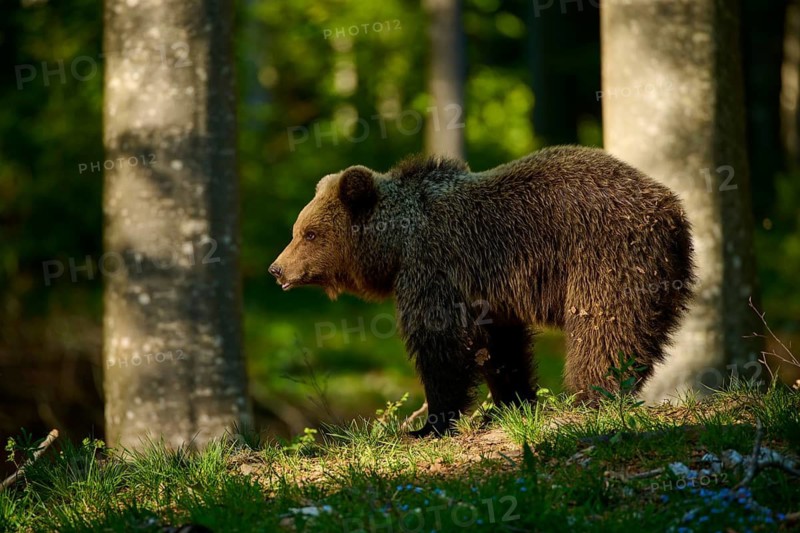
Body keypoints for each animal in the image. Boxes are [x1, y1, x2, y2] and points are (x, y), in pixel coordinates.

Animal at [270, 145, 695, 437]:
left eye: (309, 233)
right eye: (298, 230)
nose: (276, 269)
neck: (397, 245)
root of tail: (672, 209)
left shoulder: (435, 270)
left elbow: (441, 344)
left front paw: (429, 424)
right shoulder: (486, 294)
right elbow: (500, 348)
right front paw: (511, 403)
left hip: (606, 258)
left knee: (604, 331)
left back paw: (589, 396)